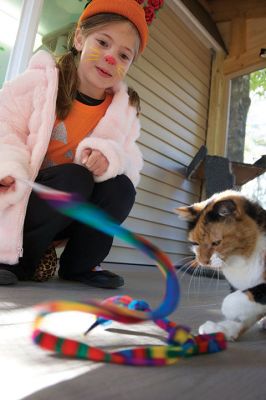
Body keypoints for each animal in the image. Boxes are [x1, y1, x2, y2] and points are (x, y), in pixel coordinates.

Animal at [176, 191, 264, 340]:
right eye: (195, 243)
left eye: (216, 243)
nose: (203, 261)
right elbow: (245, 315)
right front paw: (223, 329)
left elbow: (232, 301)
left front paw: (227, 311)